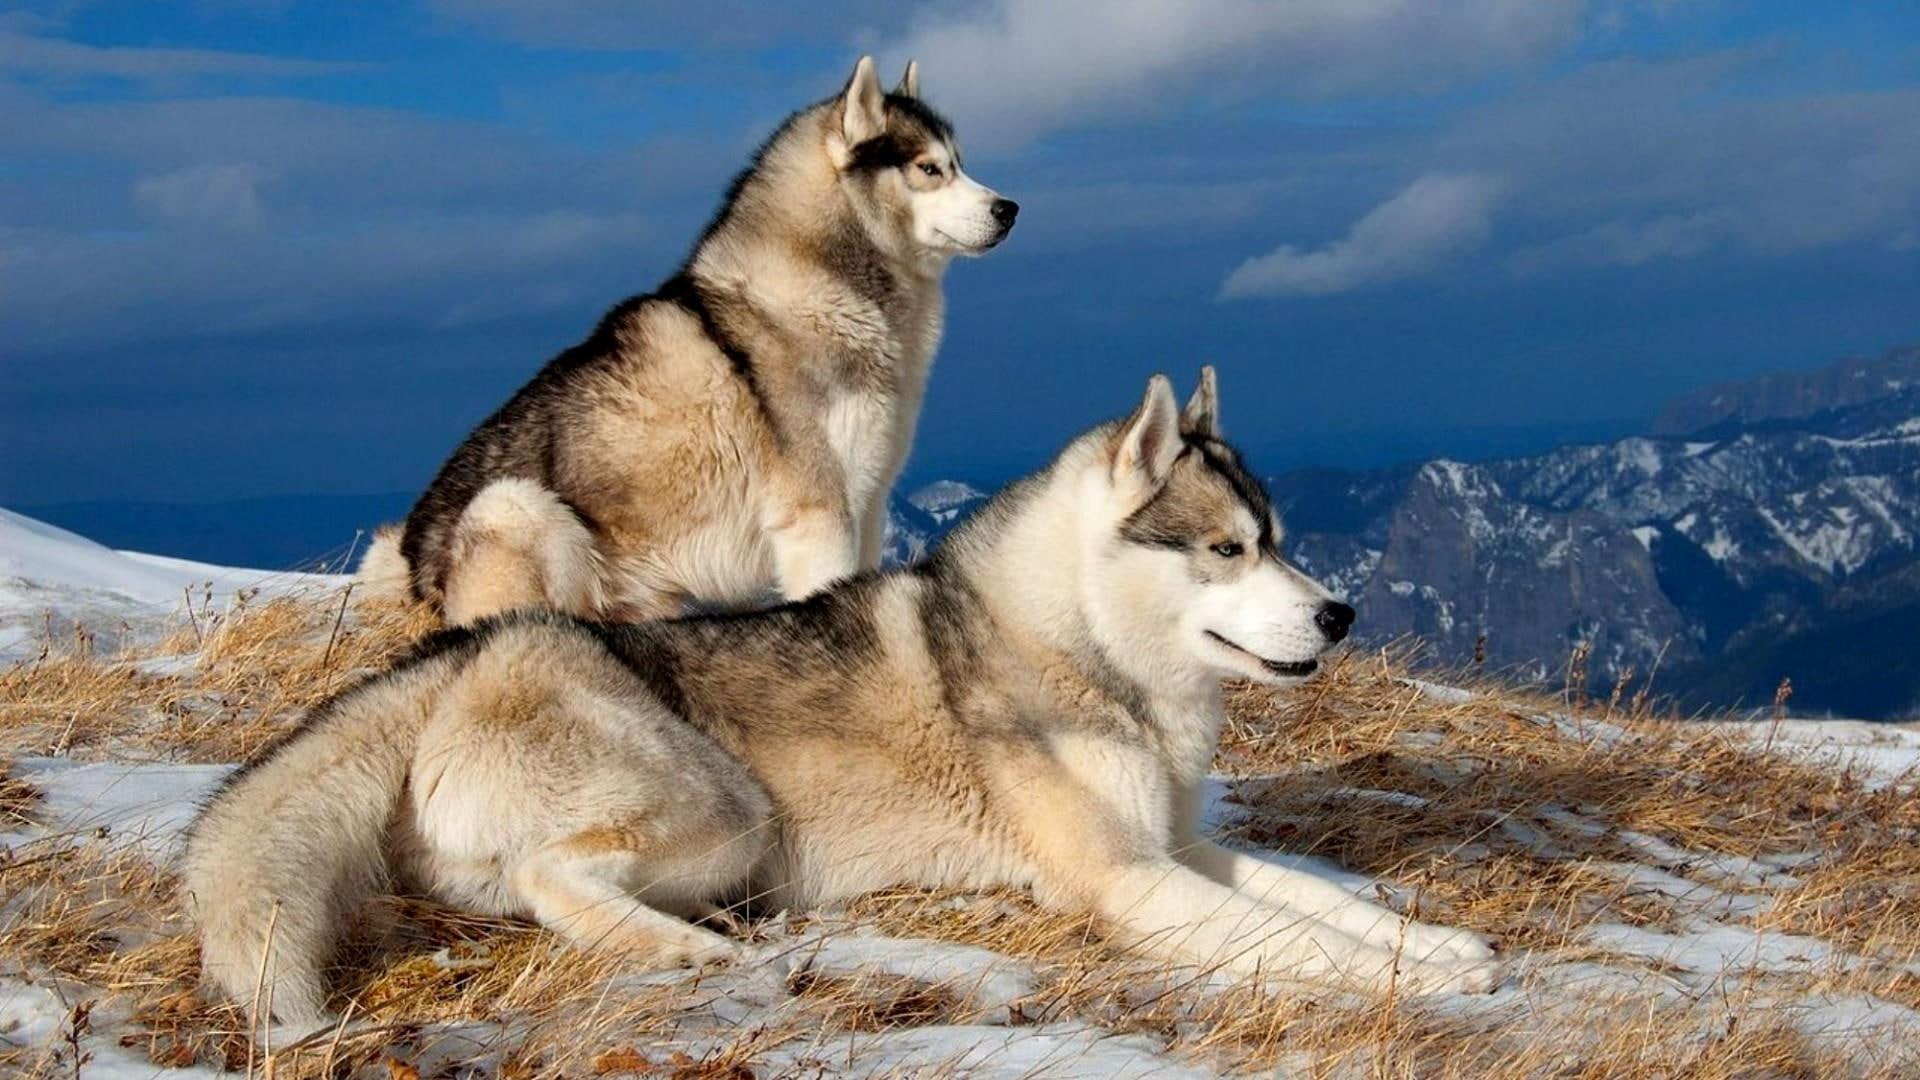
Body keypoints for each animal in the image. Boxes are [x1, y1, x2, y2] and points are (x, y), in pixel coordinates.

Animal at [189, 371, 1498, 1027]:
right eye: (1226, 550)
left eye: (1277, 541)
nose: (1340, 616)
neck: (1086, 657)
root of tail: (466, 655)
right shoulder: (1129, 882)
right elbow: (1301, 939)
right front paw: (1430, 982)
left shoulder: (1180, 849)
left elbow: (1326, 902)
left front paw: (1439, 948)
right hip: (730, 810)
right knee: (551, 879)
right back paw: (689, 948)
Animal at [357, 56, 1016, 625]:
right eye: (929, 169)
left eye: (961, 162)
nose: (1009, 208)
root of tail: (410, 557)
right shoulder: (819, 517)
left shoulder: (871, 502)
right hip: (516, 507)